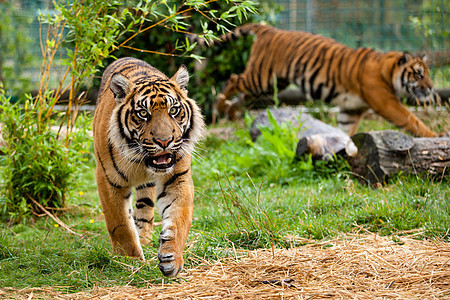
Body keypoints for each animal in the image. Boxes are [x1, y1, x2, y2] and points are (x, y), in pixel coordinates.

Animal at [93, 56, 206, 276]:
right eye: (143, 113)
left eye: (174, 110)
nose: (164, 141)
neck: (142, 161)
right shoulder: (108, 180)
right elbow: (120, 223)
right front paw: (129, 260)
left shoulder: (177, 179)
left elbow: (179, 220)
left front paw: (172, 259)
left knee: (145, 208)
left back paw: (144, 238)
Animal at [210, 22, 440, 138]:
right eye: (419, 74)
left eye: (428, 74)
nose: (431, 88)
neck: (388, 71)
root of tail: (269, 29)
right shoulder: (386, 102)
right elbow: (412, 120)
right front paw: (434, 137)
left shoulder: (351, 110)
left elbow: (345, 130)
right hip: (261, 77)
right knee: (233, 79)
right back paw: (220, 106)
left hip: (270, 85)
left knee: (242, 97)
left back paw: (231, 112)